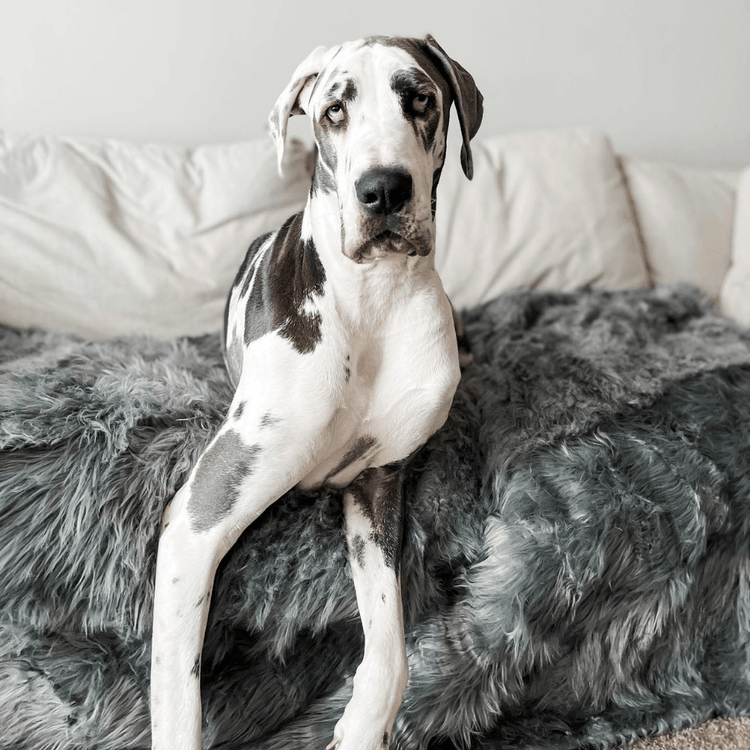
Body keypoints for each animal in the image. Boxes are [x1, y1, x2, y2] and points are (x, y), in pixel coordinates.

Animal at [150, 32, 484, 748]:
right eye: (335, 110)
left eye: (420, 98)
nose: (384, 189)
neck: (371, 299)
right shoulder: (198, 519)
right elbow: (177, 691)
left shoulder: (377, 489)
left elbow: (392, 650)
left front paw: (360, 726)